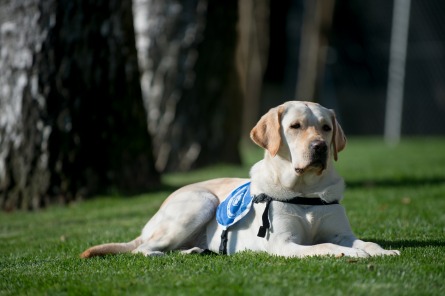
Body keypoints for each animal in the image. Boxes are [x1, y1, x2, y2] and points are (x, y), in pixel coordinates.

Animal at [80, 100, 398, 258]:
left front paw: (383, 251)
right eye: (296, 126)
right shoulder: (284, 244)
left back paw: (192, 250)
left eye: (326, 127)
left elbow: (365, 243)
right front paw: (353, 255)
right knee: (143, 249)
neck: (306, 191)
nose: (319, 147)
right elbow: (325, 247)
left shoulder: (343, 233)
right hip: (200, 203)